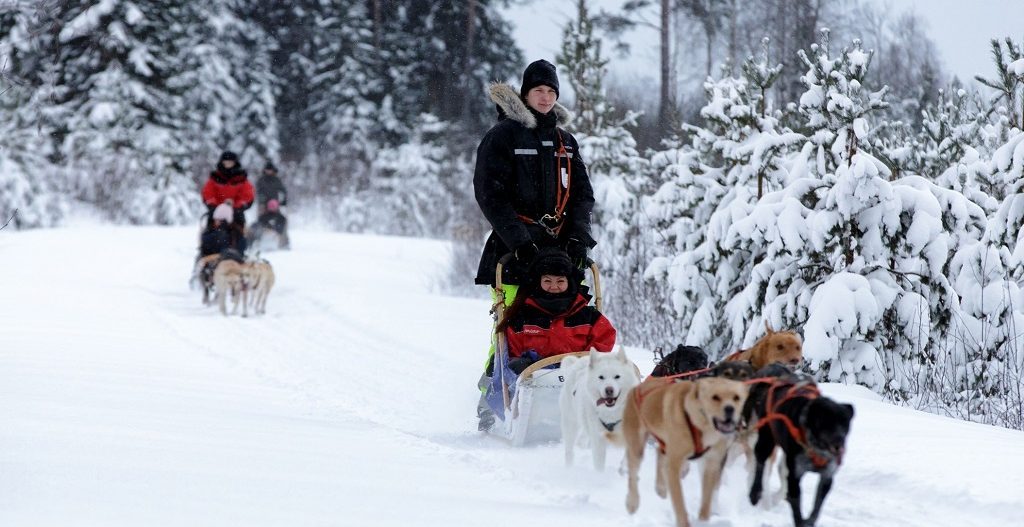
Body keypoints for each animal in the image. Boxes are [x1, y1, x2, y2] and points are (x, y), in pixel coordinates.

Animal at [618, 376, 749, 527]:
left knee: (659, 452)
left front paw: (703, 521)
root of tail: (638, 387)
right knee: (633, 475)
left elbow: (706, 502)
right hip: (637, 446)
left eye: (736, 397)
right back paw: (632, 502)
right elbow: (679, 503)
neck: (700, 423)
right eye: (715, 397)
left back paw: (661, 487)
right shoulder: (674, 466)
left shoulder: (712, 464)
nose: (730, 408)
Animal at [745, 374, 856, 527]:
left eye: (846, 424)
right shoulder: (795, 475)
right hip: (765, 442)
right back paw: (755, 492)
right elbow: (797, 511)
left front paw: (809, 521)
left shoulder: (827, 476)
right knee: (760, 464)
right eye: (828, 422)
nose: (839, 443)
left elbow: (816, 509)